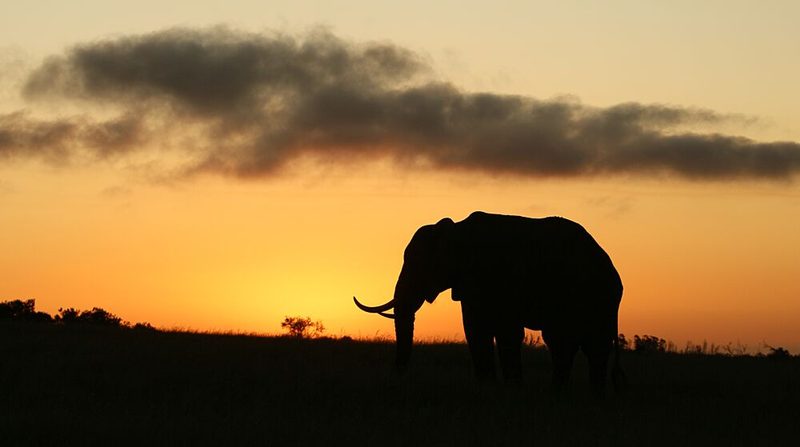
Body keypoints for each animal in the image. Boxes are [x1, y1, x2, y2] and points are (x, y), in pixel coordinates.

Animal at [354, 211, 625, 394]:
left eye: (418, 265)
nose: (396, 376)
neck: (456, 230)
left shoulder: (496, 275)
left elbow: (506, 331)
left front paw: (512, 389)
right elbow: (475, 329)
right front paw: (488, 387)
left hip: (592, 295)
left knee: (580, 343)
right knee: (568, 343)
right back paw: (570, 393)